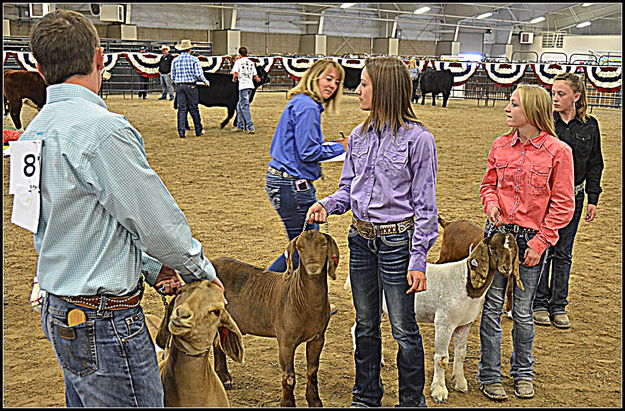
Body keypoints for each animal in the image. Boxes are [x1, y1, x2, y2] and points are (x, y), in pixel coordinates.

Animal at [210, 230, 338, 408]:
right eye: (300, 248)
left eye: (324, 244)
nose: (313, 268)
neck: (302, 298)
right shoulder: (286, 340)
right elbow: (289, 376)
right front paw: (287, 403)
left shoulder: (318, 337)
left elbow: (312, 371)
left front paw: (315, 401)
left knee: (217, 344)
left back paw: (224, 378)